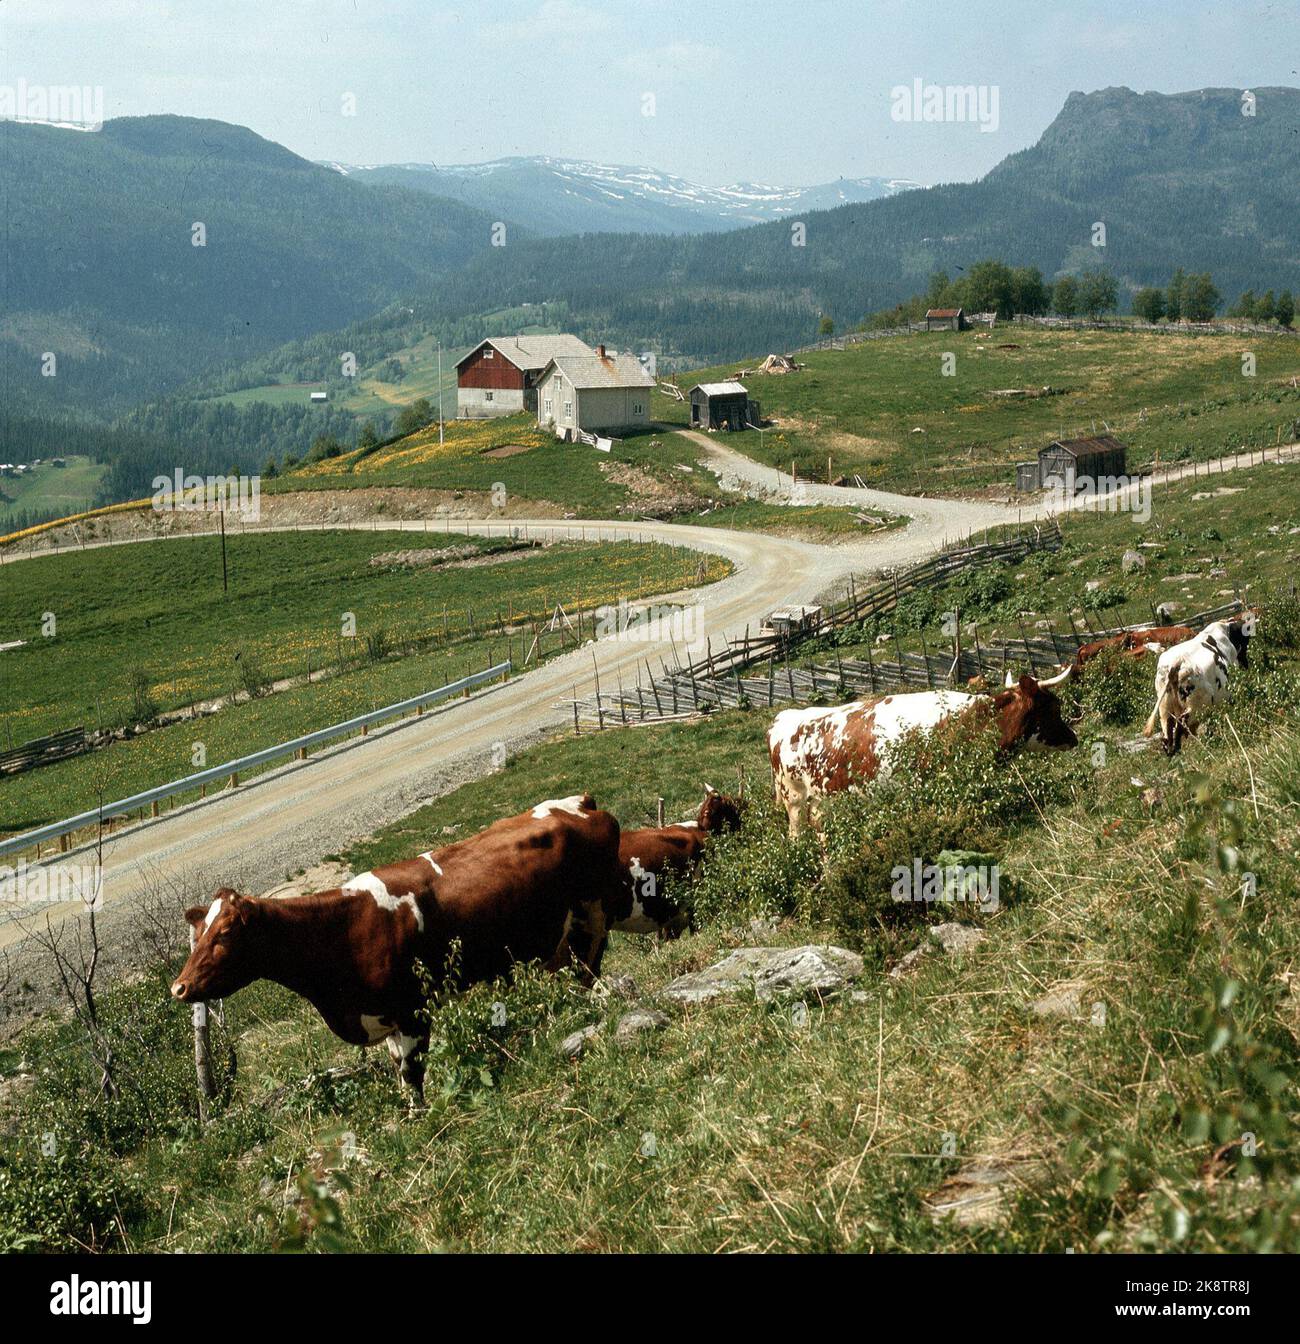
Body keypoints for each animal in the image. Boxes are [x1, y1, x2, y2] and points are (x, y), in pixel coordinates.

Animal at [168, 784, 629, 1102]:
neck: (343, 930)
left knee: (590, 973)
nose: (179, 988)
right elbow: (399, 1073)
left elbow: (413, 1074)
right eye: (199, 933)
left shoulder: (412, 1011)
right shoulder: (386, 1018)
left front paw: (420, 1121)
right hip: (561, 941)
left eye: (224, 934)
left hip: (593, 919)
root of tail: (581, 801)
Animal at [768, 672, 1070, 838]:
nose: (1073, 738)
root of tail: (785, 717)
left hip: (822, 802)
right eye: (1054, 707)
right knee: (797, 833)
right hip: (794, 799)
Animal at [1150, 618, 1252, 758]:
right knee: (1181, 724)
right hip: (1197, 706)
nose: (1245, 665)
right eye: (1245, 641)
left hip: (1165, 709)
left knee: (1167, 734)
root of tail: (1175, 663)